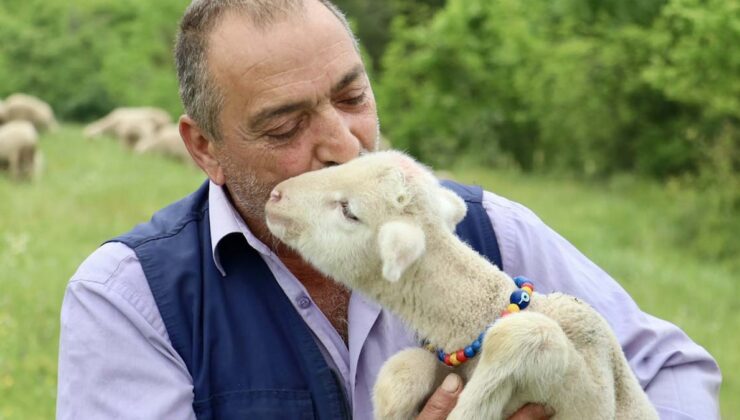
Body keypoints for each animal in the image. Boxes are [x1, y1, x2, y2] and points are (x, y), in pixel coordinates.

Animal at [266, 151, 660, 420]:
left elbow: (522, 333)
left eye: (349, 211)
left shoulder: (589, 395)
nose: (276, 196)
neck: (482, 315)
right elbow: (403, 370)